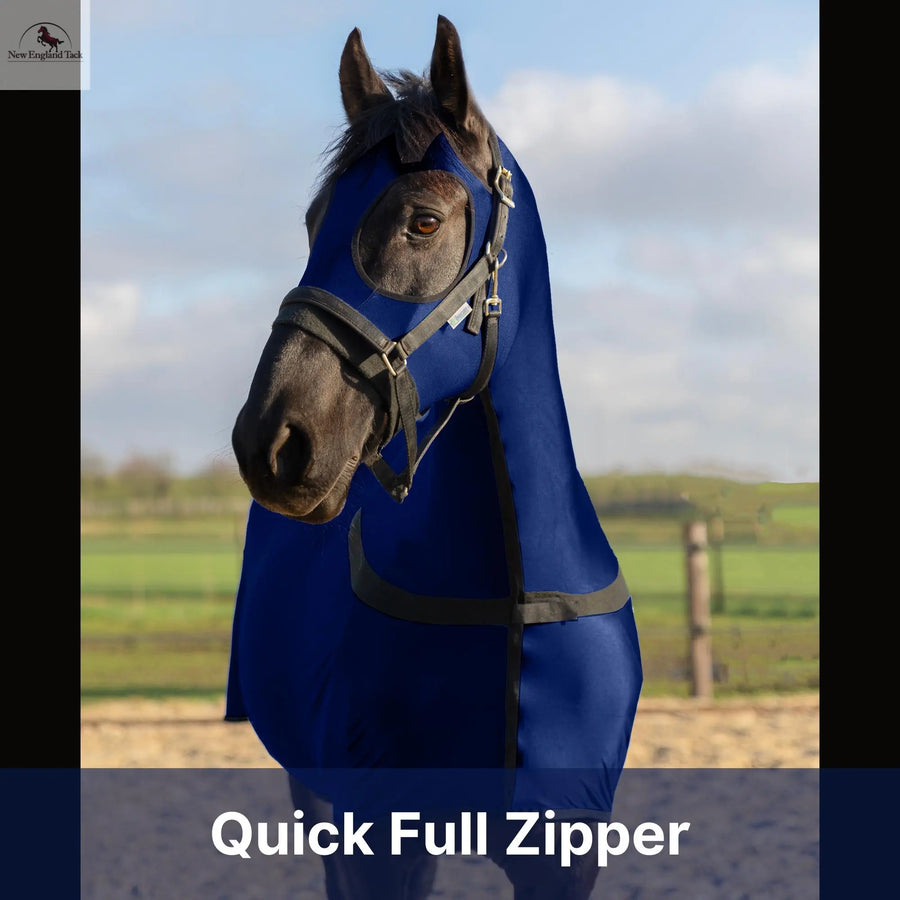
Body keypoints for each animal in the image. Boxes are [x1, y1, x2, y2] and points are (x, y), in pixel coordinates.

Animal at [228, 16, 643, 898]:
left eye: (422, 221)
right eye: (313, 223)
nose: (272, 440)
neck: (512, 600)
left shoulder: (564, 855)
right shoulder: (382, 838)